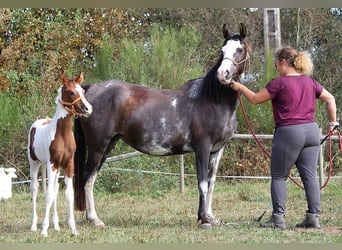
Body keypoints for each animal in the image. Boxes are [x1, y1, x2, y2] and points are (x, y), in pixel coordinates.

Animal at [27, 72, 92, 236]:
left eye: (83, 91)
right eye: (71, 92)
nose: (88, 109)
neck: (62, 135)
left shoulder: (68, 165)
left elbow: (68, 194)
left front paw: (73, 229)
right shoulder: (52, 164)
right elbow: (49, 194)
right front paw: (44, 230)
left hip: (54, 168)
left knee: (55, 188)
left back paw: (55, 224)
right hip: (35, 163)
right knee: (35, 188)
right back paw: (34, 225)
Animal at [75, 23, 250, 229]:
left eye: (239, 49)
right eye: (222, 51)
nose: (223, 75)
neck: (212, 99)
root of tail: (89, 89)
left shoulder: (217, 150)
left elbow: (211, 183)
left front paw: (210, 217)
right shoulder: (202, 147)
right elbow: (202, 183)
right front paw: (203, 219)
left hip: (108, 145)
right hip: (97, 146)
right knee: (88, 179)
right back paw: (95, 220)